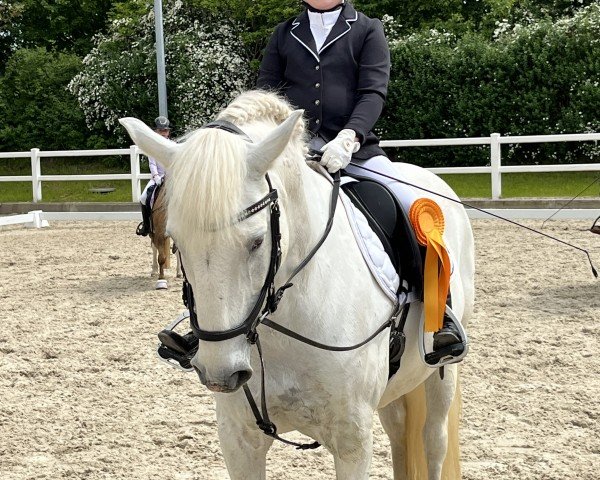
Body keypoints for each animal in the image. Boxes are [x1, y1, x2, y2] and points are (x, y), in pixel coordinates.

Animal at [119, 91, 476, 480]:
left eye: (257, 241)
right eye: (178, 242)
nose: (220, 373)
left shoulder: (352, 441)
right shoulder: (238, 438)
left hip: (441, 376)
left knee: (433, 441)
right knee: (398, 431)